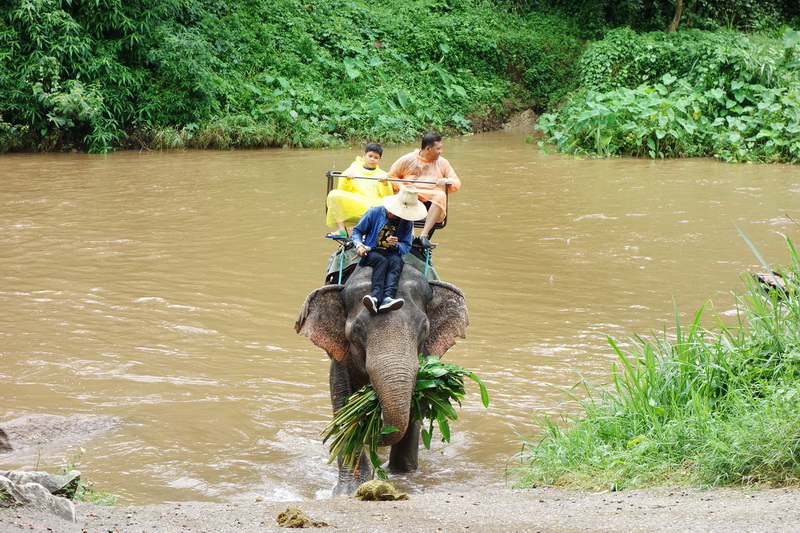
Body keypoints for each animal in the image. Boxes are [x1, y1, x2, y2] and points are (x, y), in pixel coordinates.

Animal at [296, 262, 466, 494]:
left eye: (424, 328)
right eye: (356, 330)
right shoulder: (339, 357)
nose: (373, 429)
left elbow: (415, 406)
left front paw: (405, 477)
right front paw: (348, 490)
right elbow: (342, 399)